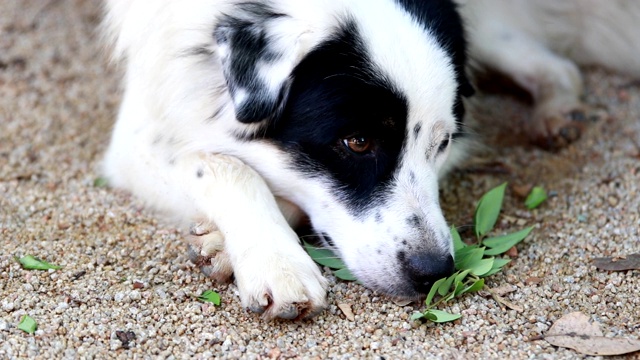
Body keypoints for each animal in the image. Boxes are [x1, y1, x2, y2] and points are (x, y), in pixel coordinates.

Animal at [104, 0, 640, 320]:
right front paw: (276, 264)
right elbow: (224, 164)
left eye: (442, 143)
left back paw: (558, 111)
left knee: (556, 63)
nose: (434, 272)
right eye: (357, 142)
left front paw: (221, 244)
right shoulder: (137, 139)